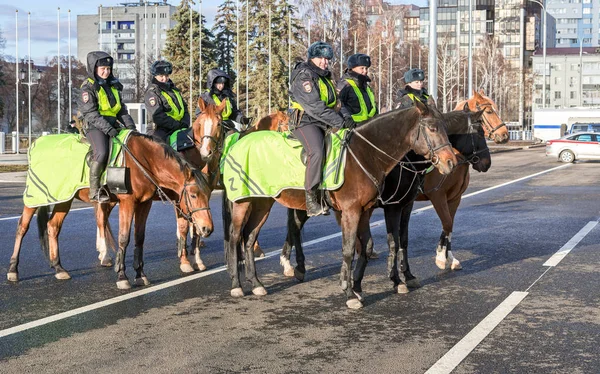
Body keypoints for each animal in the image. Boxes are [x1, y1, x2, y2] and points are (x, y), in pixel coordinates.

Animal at [8, 132, 214, 290]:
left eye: (208, 194)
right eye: (193, 195)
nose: (207, 228)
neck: (142, 161)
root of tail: (36, 144)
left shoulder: (144, 204)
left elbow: (140, 238)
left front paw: (140, 274)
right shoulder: (127, 203)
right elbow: (124, 238)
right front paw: (122, 276)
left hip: (64, 199)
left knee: (53, 226)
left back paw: (59, 268)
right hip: (34, 198)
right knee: (22, 227)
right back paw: (13, 270)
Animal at [223, 99, 458, 310]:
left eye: (446, 127)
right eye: (432, 128)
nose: (451, 163)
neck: (366, 153)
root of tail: (241, 138)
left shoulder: (369, 210)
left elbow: (371, 246)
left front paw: (361, 286)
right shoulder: (361, 210)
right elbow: (351, 249)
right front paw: (350, 291)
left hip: (263, 202)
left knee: (250, 237)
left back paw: (257, 283)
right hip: (243, 202)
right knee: (236, 237)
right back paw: (237, 285)